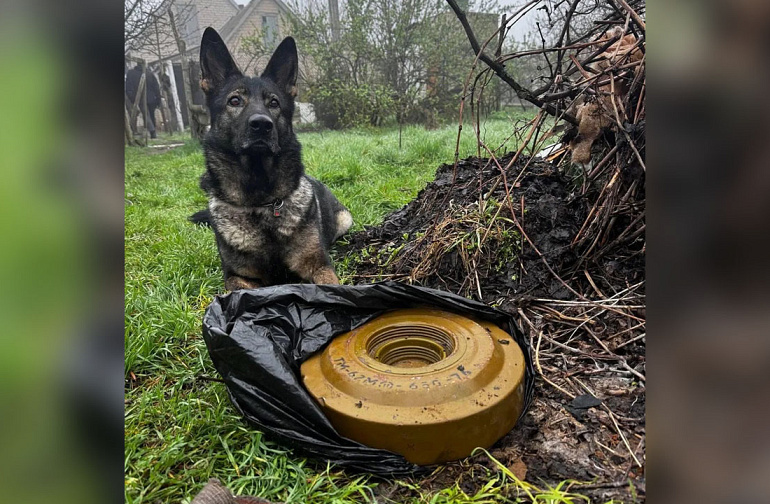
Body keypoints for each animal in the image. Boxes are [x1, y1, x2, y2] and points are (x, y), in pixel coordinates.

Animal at [190, 27, 353, 291]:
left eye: (274, 103)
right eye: (235, 101)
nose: (261, 125)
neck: (262, 202)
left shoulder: (319, 266)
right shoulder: (236, 277)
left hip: (345, 220)